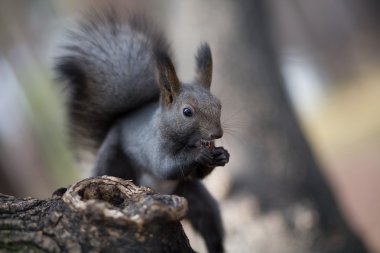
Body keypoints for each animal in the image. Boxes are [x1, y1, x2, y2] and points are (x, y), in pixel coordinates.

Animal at [55, 6, 230, 253]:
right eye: (187, 112)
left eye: (219, 104)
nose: (217, 134)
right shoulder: (152, 145)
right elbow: (165, 166)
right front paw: (199, 154)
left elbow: (198, 173)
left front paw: (222, 155)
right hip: (113, 158)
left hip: (192, 195)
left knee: (209, 222)